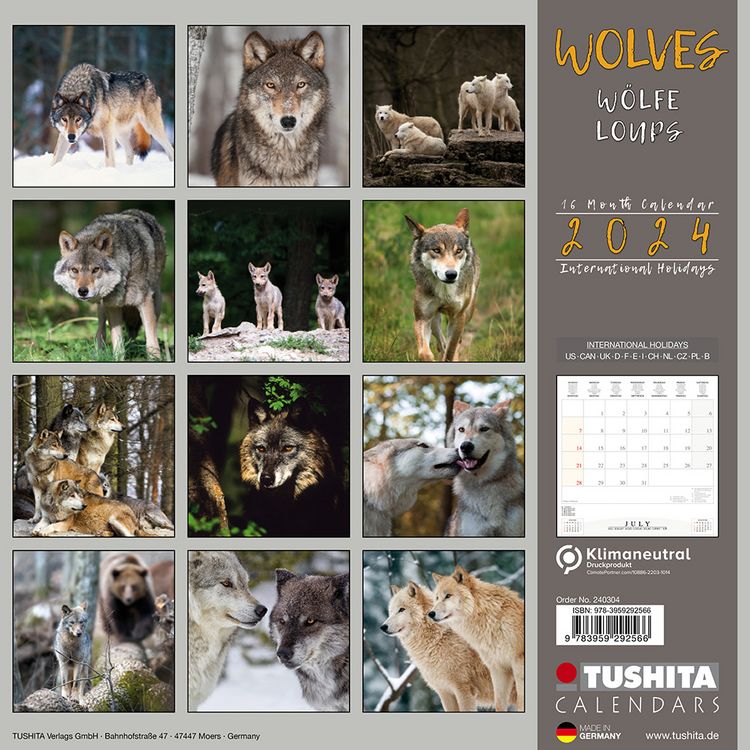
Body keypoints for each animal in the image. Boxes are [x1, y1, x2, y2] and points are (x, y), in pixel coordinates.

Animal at [53, 210, 167, 359]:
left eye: (96, 269)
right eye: (74, 270)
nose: (82, 291)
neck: (124, 273)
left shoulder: (144, 302)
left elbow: (151, 343)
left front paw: (155, 359)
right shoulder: (113, 306)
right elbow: (118, 344)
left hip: (157, 303)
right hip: (102, 307)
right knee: (101, 331)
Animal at [381, 582, 495, 711]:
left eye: (401, 609)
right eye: (391, 611)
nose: (383, 627)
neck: (438, 637)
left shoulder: (463, 690)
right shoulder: (444, 692)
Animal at [406, 207, 480, 362]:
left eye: (458, 251)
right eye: (436, 250)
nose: (451, 274)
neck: (445, 292)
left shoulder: (458, 317)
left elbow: (451, 351)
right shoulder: (422, 318)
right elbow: (424, 352)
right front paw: (430, 357)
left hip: (467, 313)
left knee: (456, 342)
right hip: (434, 320)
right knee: (441, 341)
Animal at [430, 566, 525, 712]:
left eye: (448, 596)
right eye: (437, 597)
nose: (431, 613)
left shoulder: (519, 662)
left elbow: (521, 701)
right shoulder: (498, 668)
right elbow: (499, 703)